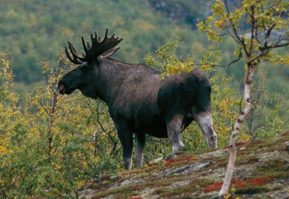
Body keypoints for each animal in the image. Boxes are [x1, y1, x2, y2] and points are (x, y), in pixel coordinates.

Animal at [56, 29, 216, 169]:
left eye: (84, 67)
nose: (61, 83)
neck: (109, 90)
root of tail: (199, 80)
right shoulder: (140, 128)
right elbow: (139, 157)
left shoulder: (122, 123)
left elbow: (128, 159)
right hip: (202, 109)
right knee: (211, 136)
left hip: (173, 114)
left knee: (177, 144)